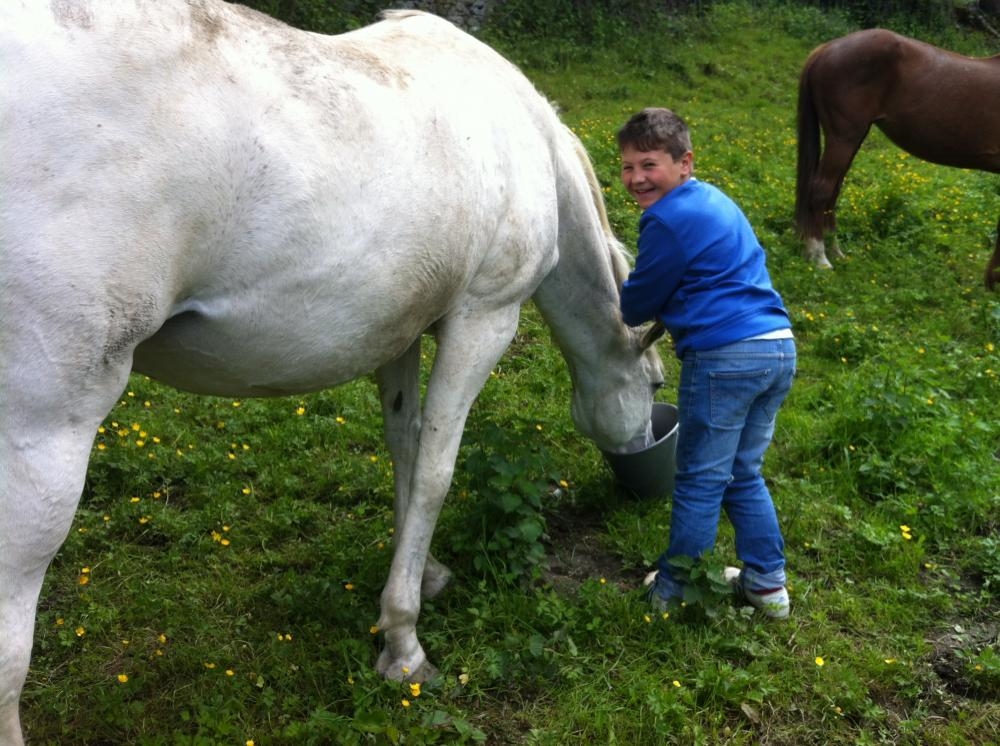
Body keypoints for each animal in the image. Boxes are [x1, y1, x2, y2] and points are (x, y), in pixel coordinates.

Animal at [0, 3, 665, 740]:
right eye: (658, 385)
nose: (644, 457)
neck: (527, 137)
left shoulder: (398, 332)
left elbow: (405, 448)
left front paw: (425, 574)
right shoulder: (483, 321)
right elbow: (435, 470)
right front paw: (403, 644)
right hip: (42, 441)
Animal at [794, 28, 1000, 285]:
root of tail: (826, 49)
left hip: (852, 139)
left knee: (833, 192)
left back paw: (835, 251)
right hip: (843, 138)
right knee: (820, 191)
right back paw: (819, 257)